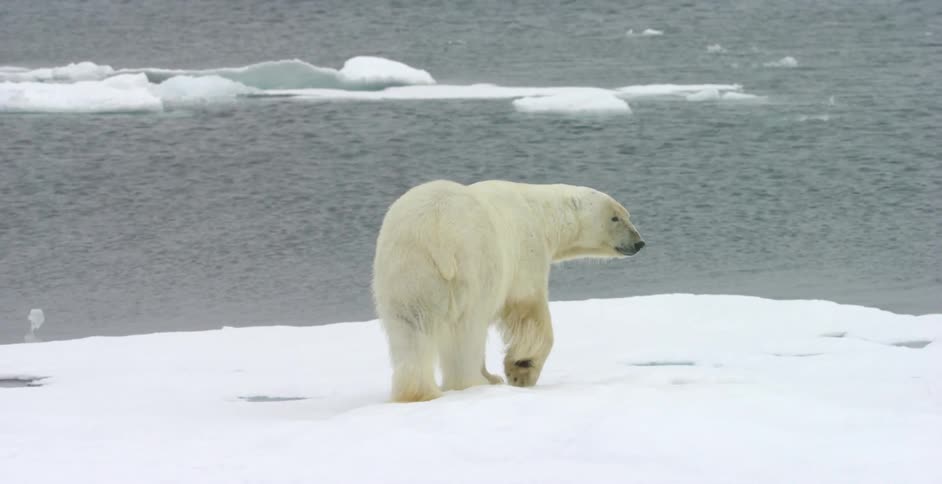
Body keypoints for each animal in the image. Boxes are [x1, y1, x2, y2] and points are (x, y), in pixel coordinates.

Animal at [372, 179, 645, 402]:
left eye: (626, 214)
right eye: (615, 217)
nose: (639, 242)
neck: (540, 212)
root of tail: (435, 231)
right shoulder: (526, 250)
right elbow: (529, 310)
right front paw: (521, 369)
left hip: (407, 273)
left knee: (410, 330)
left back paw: (417, 392)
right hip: (473, 265)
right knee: (467, 330)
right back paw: (474, 383)